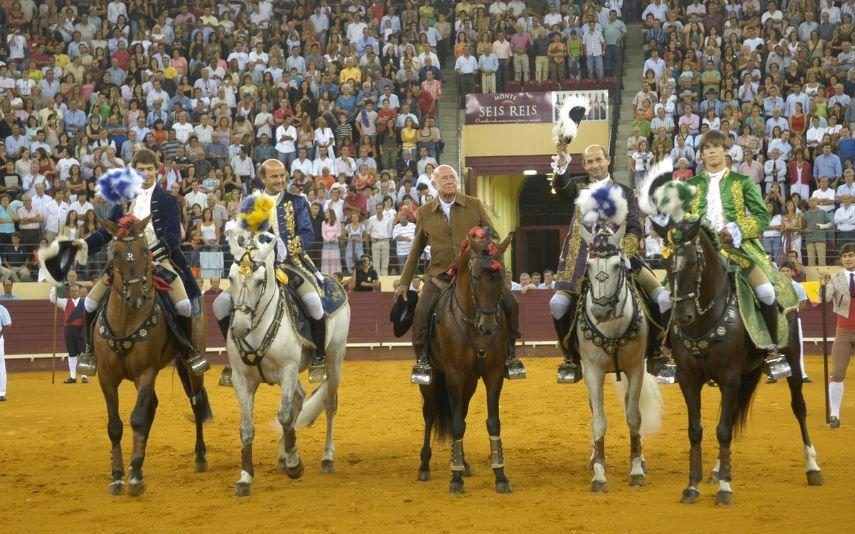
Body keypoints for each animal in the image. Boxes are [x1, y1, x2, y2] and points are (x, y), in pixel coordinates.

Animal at [95, 217, 211, 498]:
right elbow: (115, 425)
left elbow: (137, 418)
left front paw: (135, 478)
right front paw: (118, 476)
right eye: (115, 252)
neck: (126, 320)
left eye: (145, 250)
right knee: (152, 407)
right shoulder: (106, 376)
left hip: (192, 362)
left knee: (196, 402)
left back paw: (199, 457)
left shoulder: (146, 371)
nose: (136, 297)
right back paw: (138, 462)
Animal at [226, 230, 352, 498]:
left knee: (329, 404)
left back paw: (326, 457)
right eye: (230, 278)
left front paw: (296, 465)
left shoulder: (288, 369)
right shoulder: (241, 379)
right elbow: (247, 427)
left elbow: (284, 415)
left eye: (260, 281)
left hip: (335, 359)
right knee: (300, 399)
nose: (239, 327)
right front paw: (245, 478)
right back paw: (284, 455)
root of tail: (334, 281)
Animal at [416, 226, 512, 494]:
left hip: (470, 382)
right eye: (476, 277)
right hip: (431, 380)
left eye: (501, 276)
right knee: (430, 414)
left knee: (462, 414)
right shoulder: (454, 375)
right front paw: (455, 479)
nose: (488, 327)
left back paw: (464, 463)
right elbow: (456, 423)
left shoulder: (493, 374)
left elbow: (492, 422)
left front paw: (500, 475)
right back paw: (425, 466)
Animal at [580, 224, 664, 496]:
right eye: (588, 265)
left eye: (618, 265)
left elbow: (634, 417)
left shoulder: (635, 367)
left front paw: (636, 471)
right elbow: (598, 420)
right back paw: (594, 458)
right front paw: (599, 474)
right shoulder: (592, 371)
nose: (600, 311)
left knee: (631, 408)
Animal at [656, 218, 824, 506]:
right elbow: (696, 430)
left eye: (694, 262)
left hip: (791, 358)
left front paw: (725, 489)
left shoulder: (730, 377)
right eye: (665, 263)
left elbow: (723, 430)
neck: (704, 319)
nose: (682, 316)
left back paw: (812, 467)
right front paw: (693, 486)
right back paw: (716, 469)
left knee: (798, 407)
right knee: (733, 415)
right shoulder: (689, 379)